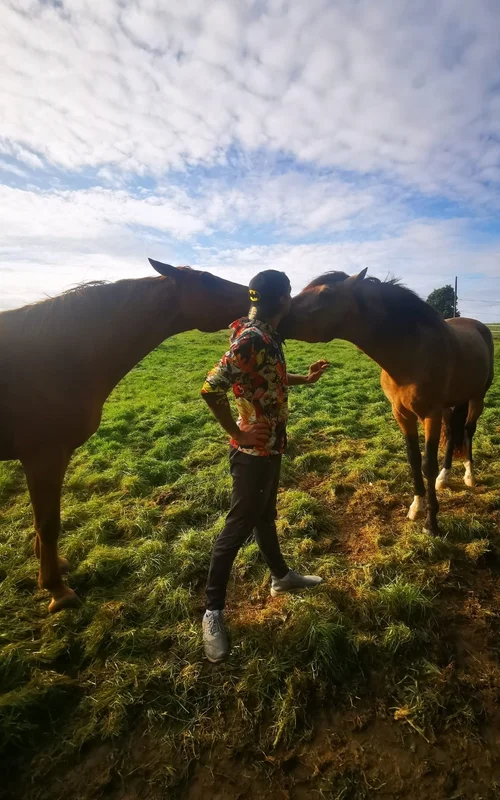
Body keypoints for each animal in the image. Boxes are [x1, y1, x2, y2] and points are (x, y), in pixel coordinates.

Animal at [0, 260, 248, 608]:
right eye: (207, 280)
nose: (253, 291)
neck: (59, 356)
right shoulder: (43, 456)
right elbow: (47, 524)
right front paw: (57, 590)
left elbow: (45, 522)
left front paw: (54, 567)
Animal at [280, 268, 494, 536]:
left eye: (326, 293)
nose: (278, 314)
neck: (412, 352)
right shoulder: (402, 414)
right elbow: (414, 460)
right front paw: (416, 507)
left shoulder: (430, 414)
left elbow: (427, 464)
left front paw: (431, 524)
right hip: (451, 405)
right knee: (453, 434)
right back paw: (444, 479)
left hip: (477, 398)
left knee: (467, 431)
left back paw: (469, 476)